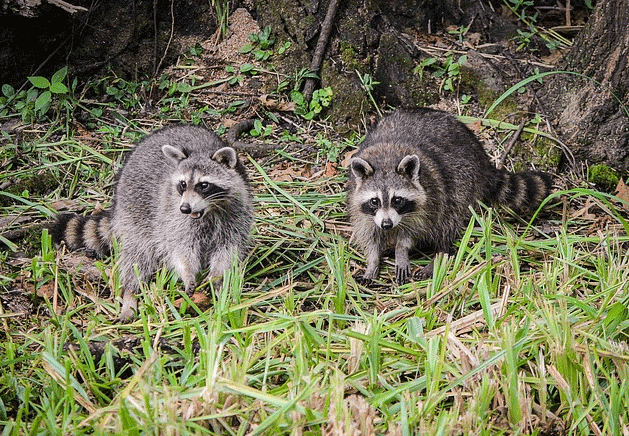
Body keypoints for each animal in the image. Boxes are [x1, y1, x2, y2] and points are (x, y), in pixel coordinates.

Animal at [51, 124, 253, 322]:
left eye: (203, 185)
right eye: (182, 184)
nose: (185, 208)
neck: (209, 211)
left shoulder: (236, 215)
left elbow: (228, 249)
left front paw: (217, 276)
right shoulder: (172, 217)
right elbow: (179, 249)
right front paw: (187, 273)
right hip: (134, 212)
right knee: (137, 257)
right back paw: (130, 295)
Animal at [346, 108, 552, 284]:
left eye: (397, 200)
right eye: (375, 201)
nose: (387, 224)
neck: (385, 160)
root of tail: (481, 157)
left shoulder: (427, 200)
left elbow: (412, 231)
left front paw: (401, 250)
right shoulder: (360, 207)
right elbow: (368, 235)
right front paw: (372, 262)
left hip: (463, 180)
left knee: (448, 217)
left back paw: (440, 253)